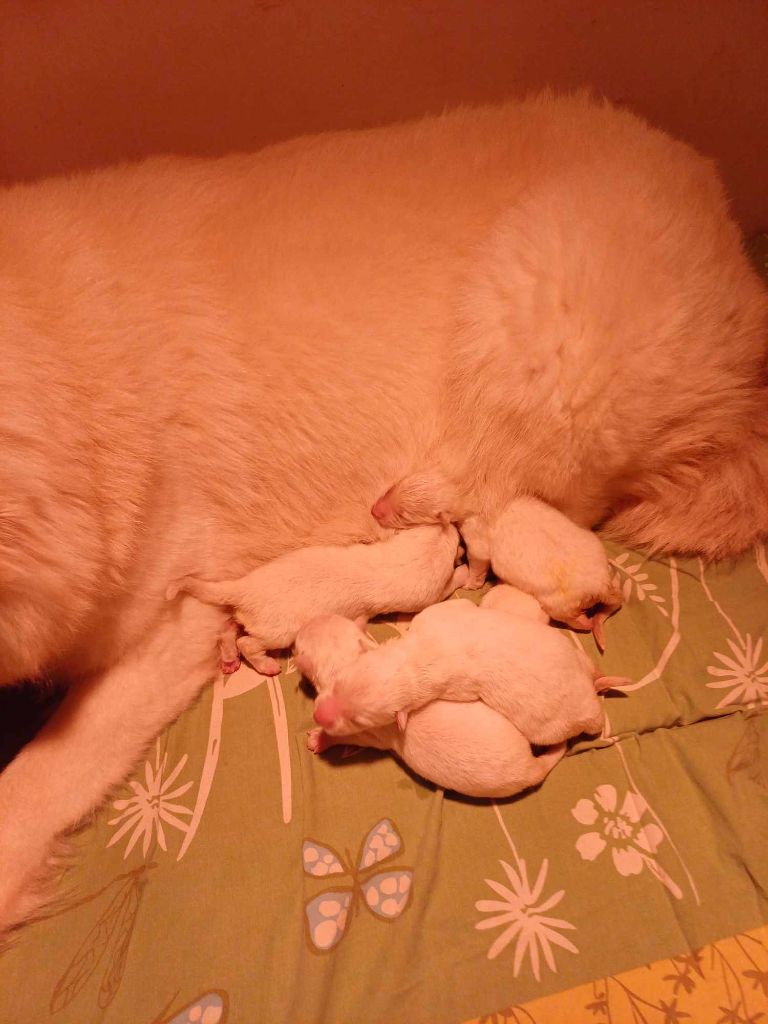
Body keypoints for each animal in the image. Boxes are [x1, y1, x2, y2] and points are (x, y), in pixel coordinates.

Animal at [169, 524, 468, 675]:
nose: (454, 525)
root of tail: (243, 587)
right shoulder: (426, 593)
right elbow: (448, 584)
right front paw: (463, 570)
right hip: (278, 631)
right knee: (247, 643)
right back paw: (266, 665)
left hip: (248, 616)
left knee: (228, 630)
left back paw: (229, 658)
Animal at [296, 606, 626, 745]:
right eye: (338, 682)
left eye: (358, 721)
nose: (319, 715)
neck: (410, 660)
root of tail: (589, 693)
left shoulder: (452, 685)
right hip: (573, 652)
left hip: (556, 725)